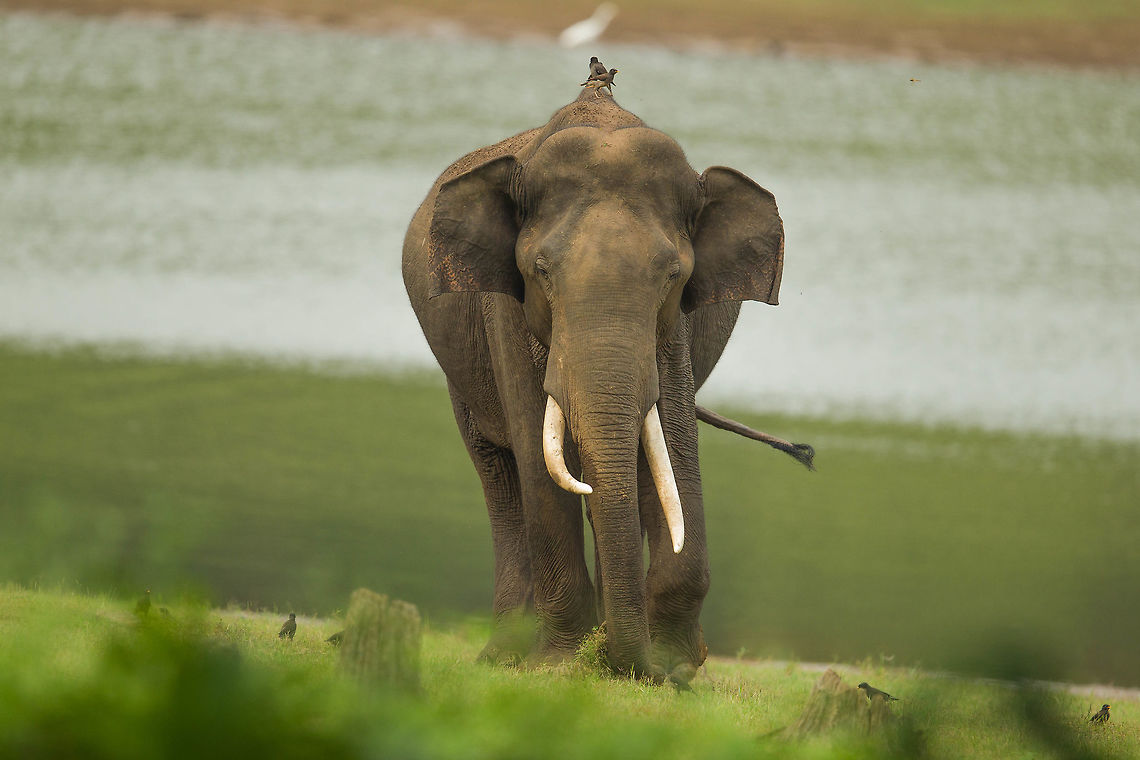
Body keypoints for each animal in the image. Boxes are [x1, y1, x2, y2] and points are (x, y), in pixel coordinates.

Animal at [402, 86, 788, 684]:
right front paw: (563, 662)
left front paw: (674, 667)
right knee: (501, 475)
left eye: (674, 277)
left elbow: (674, 443)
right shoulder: (503, 310)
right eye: (540, 272)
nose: (638, 667)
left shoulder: (672, 333)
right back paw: (509, 654)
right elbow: (537, 457)